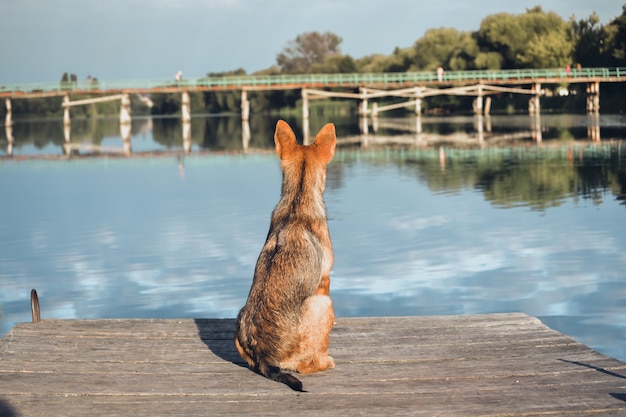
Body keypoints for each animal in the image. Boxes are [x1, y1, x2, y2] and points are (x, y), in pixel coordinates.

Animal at [235, 118, 336, 390]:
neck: (297, 200)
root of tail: (263, 358)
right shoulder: (325, 280)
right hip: (324, 304)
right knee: (306, 365)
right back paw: (326, 361)